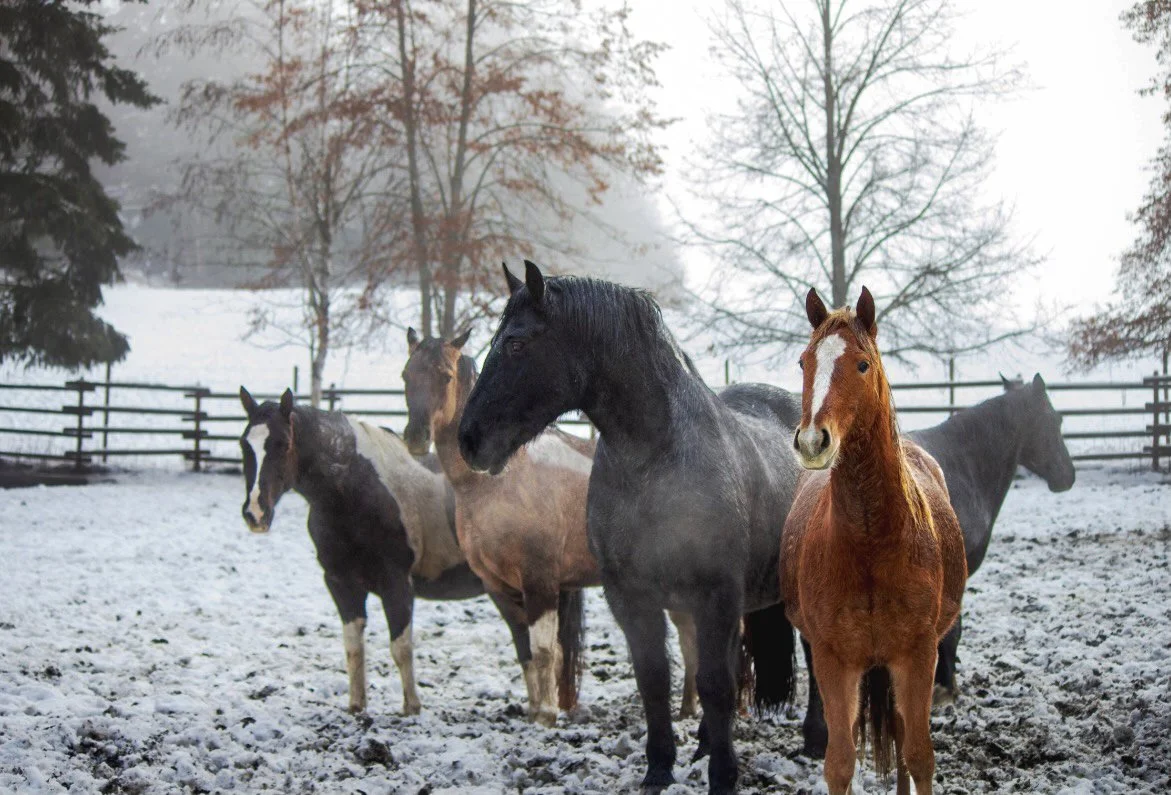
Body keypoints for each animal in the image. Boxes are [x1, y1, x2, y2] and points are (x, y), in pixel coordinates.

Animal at [238, 387, 530, 716]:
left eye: (282, 443)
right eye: (244, 444)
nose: (255, 513)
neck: (354, 490)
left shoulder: (397, 584)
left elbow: (401, 648)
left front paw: (412, 707)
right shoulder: (341, 584)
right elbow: (354, 648)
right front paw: (356, 705)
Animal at [400, 329, 703, 725]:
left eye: (446, 377)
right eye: (406, 376)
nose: (415, 437)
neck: (499, 483)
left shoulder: (540, 581)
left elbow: (545, 650)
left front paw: (546, 714)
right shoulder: (498, 587)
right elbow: (525, 651)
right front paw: (533, 710)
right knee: (690, 638)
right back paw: (687, 709)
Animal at [456, 261, 802, 794]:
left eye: (516, 343)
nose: (468, 439)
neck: (654, 464)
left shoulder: (716, 594)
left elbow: (715, 685)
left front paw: (724, 777)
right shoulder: (631, 596)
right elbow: (655, 680)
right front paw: (659, 769)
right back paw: (706, 743)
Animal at [781, 287, 967, 795]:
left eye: (863, 364)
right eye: (804, 362)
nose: (813, 442)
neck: (870, 542)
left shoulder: (918, 654)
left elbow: (919, 756)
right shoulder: (833, 659)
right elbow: (840, 763)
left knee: (903, 739)